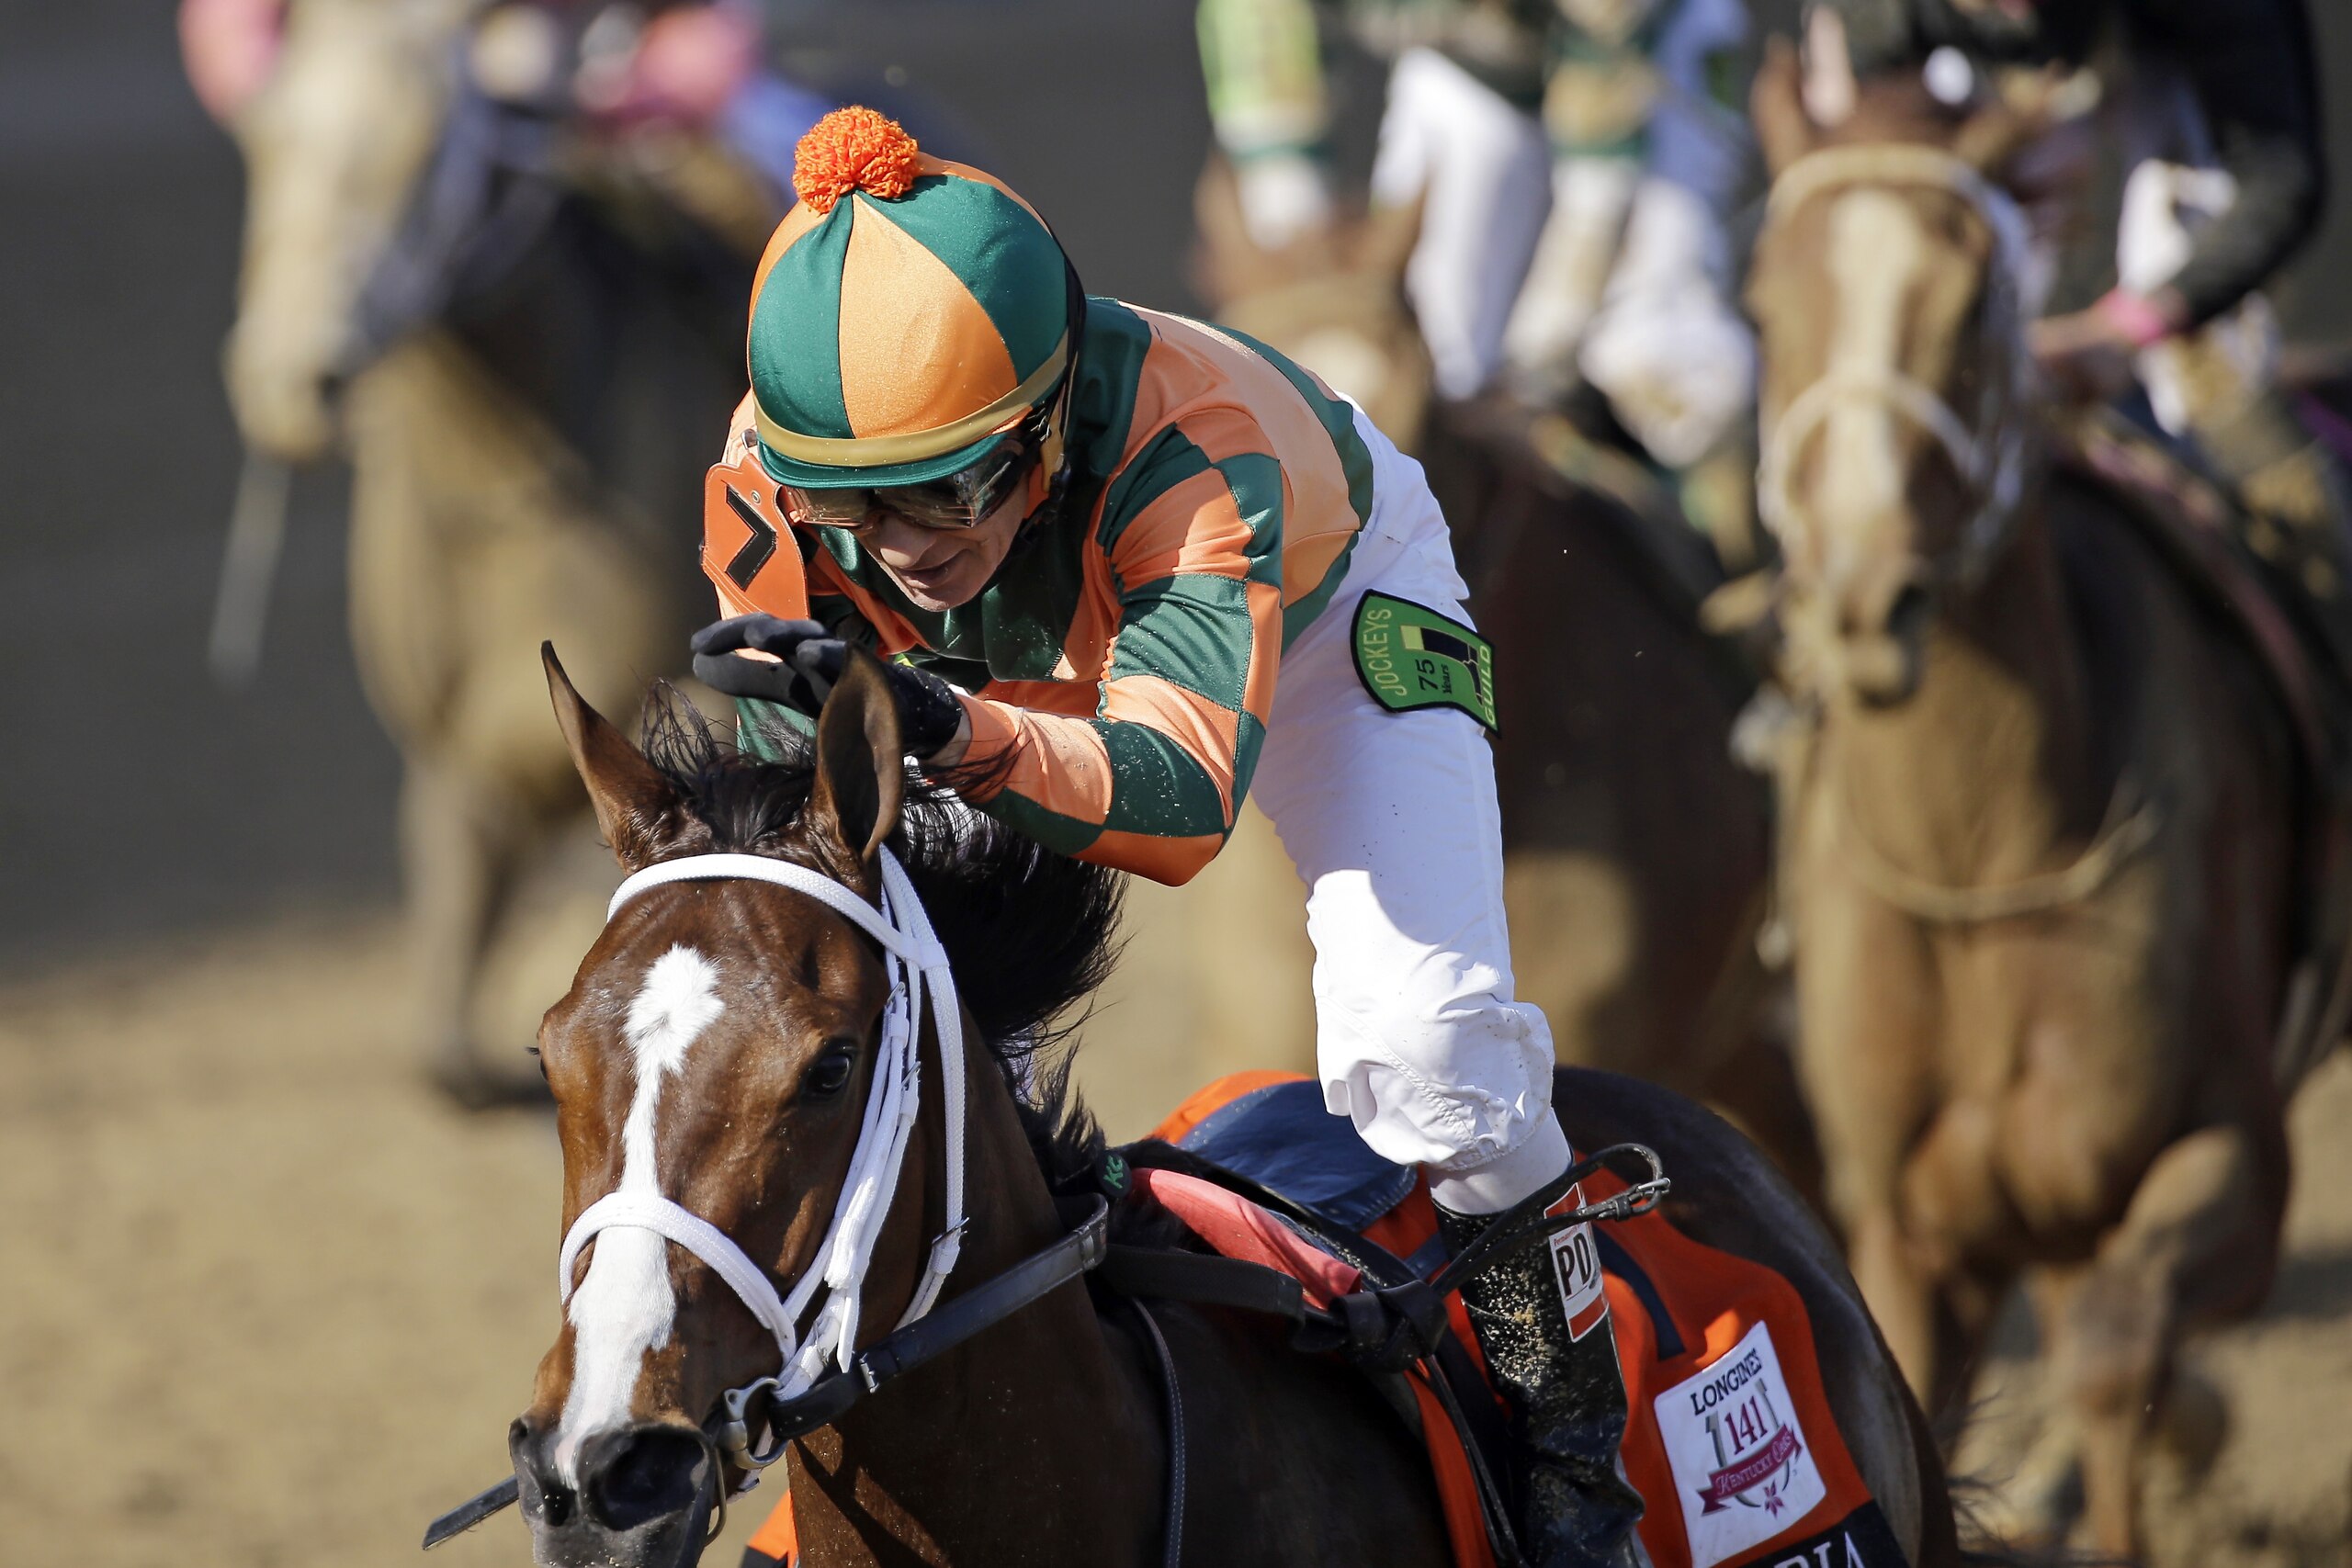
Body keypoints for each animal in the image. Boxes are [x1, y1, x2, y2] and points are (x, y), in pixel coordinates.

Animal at [1743, 48, 2335, 1554]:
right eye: (1767, 303)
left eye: (1978, 307)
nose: (1862, 600)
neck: (1978, 850)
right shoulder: (1903, 1225)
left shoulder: (2229, 1162)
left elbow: (2117, 1347)